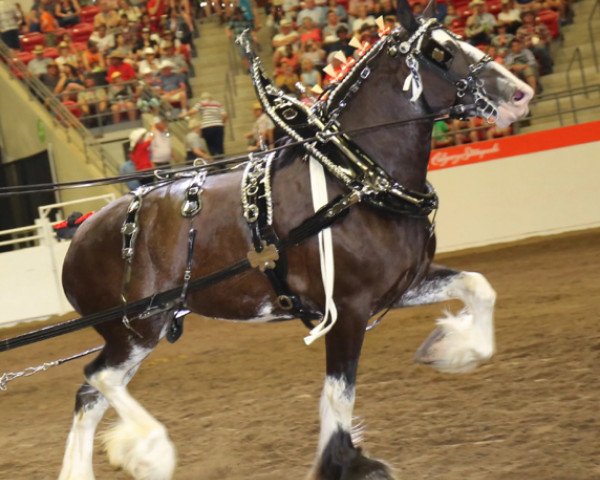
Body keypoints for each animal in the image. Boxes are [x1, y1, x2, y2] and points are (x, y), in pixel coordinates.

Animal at [58, 1, 532, 478]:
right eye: (440, 52)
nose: (521, 94)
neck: (354, 183)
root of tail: (83, 229)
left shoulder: (405, 284)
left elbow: (479, 287)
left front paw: (454, 349)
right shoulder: (347, 307)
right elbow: (340, 392)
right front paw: (345, 461)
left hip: (138, 331)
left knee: (89, 396)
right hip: (137, 329)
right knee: (98, 378)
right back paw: (150, 450)